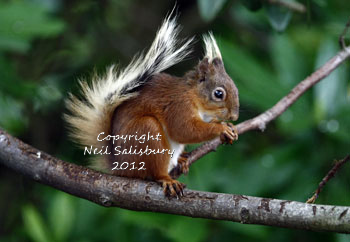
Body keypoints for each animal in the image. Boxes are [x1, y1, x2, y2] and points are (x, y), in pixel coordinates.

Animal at [65, 15, 239, 197]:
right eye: (218, 94)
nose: (234, 116)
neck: (194, 96)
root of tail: (120, 166)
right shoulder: (178, 106)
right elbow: (184, 130)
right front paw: (221, 128)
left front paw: (230, 128)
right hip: (147, 133)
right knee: (155, 172)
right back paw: (167, 179)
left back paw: (182, 159)